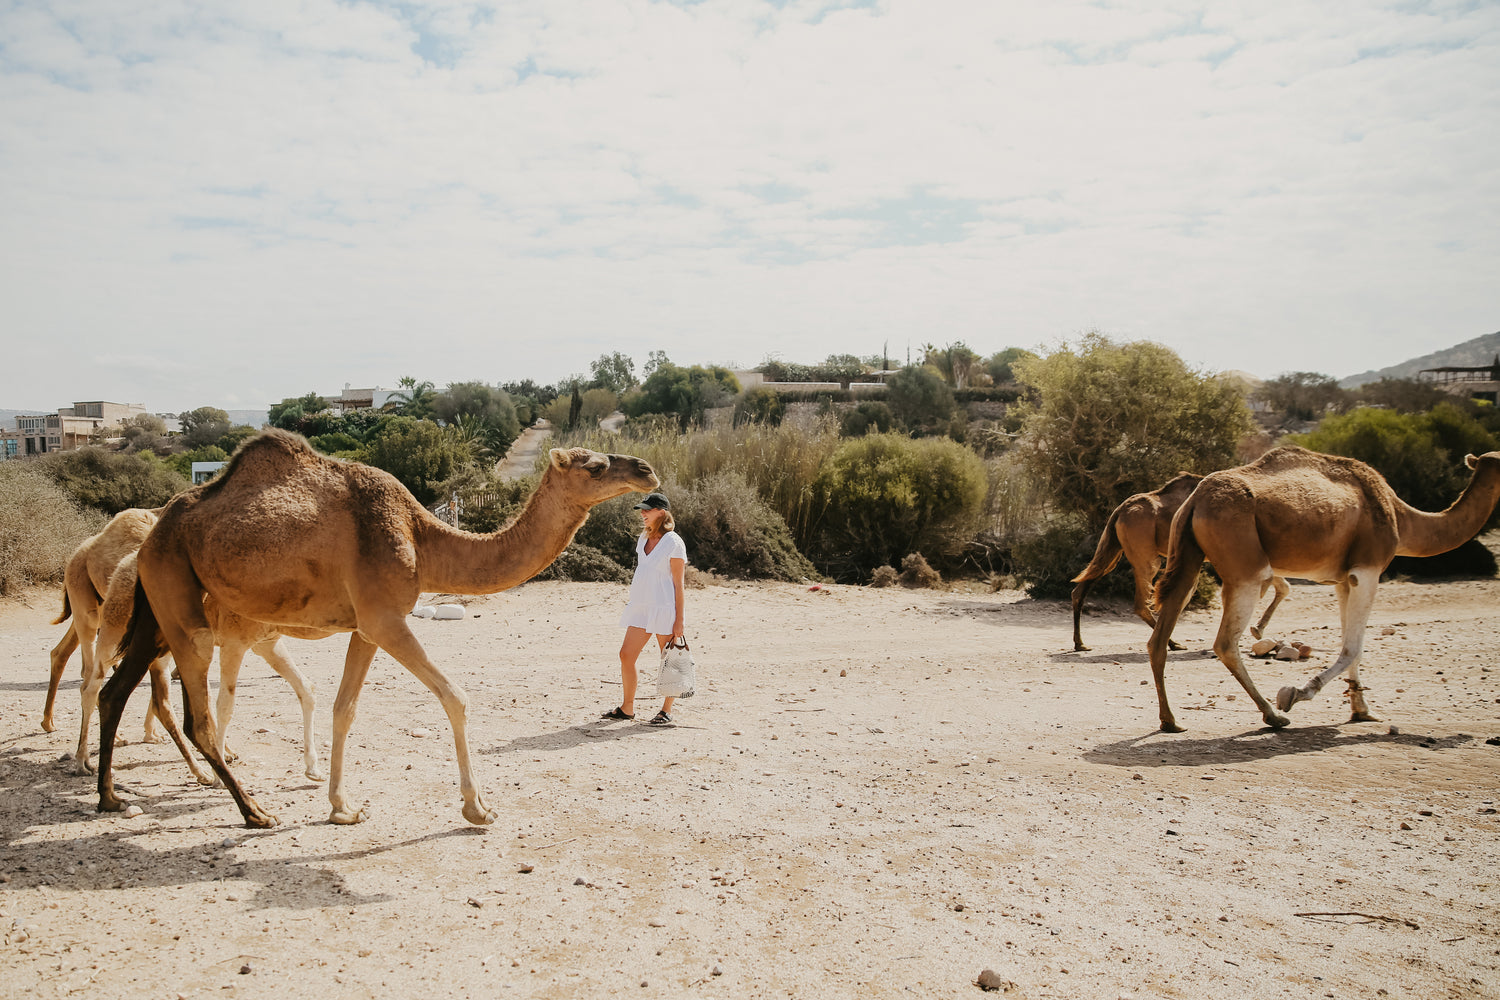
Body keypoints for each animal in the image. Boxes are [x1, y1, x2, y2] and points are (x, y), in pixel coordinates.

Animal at [79, 551, 325, 785]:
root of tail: (123, 566)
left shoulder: (267, 643)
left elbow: (306, 689)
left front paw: (313, 770)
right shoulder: (233, 643)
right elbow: (225, 706)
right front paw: (219, 778)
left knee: (156, 701)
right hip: (115, 631)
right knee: (92, 688)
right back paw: (83, 762)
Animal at [1068, 473, 1290, 653]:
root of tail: (1120, 509)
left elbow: (1283, 586)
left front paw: (1257, 630)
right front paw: (1256, 630)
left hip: (1112, 547)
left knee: (1082, 588)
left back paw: (1080, 644)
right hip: (1145, 553)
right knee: (1142, 601)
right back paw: (1172, 643)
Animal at [1146, 449, 1500, 731]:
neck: (1401, 517)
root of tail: (1194, 501)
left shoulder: (1344, 579)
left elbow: (1352, 645)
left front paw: (1362, 710)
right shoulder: (1367, 570)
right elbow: (1353, 647)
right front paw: (1296, 694)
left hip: (1188, 560)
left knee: (1160, 637)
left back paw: (1171, 721)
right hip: (1246, 567)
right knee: (1225, 643)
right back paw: (1274, 715)